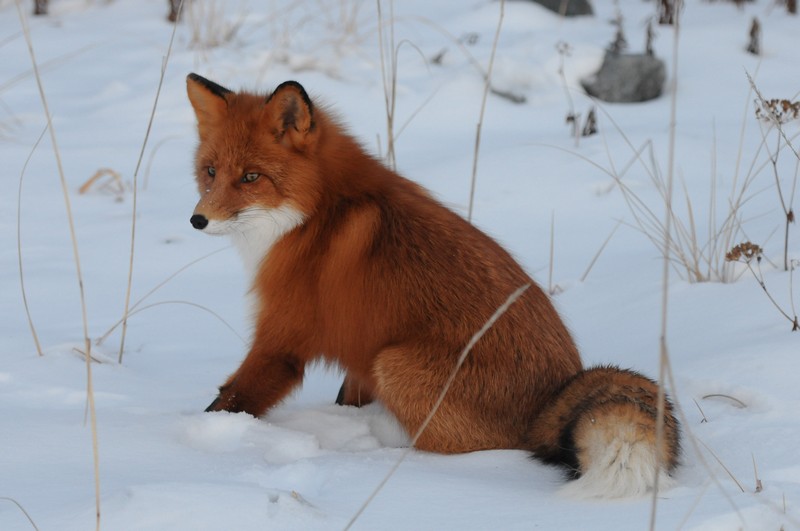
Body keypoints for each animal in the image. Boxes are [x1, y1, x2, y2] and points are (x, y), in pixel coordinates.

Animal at [188, 72, 680, 496]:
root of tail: (554, 395)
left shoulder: (282, 338)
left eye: (251, 177)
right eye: (210, 172)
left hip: (395, 365)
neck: (316, 211)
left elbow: (230, 398)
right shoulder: (358, 346)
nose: (197, 220)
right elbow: (347, 396)